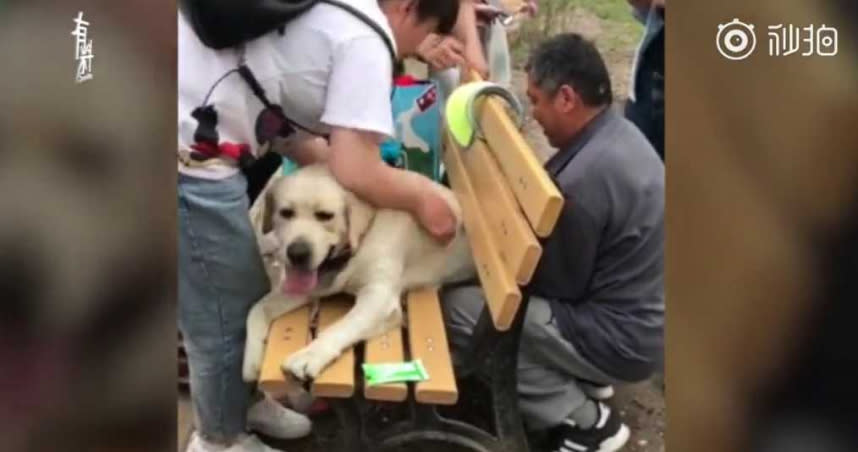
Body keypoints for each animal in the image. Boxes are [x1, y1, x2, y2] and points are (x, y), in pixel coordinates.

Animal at [242, 163, 474, 382]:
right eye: (286, 213)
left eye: (325, 216)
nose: (297, 253)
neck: (361, 239)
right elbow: (256, 309)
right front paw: (252, 358)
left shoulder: (378, 297)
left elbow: (339, 327)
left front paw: (310, 355)